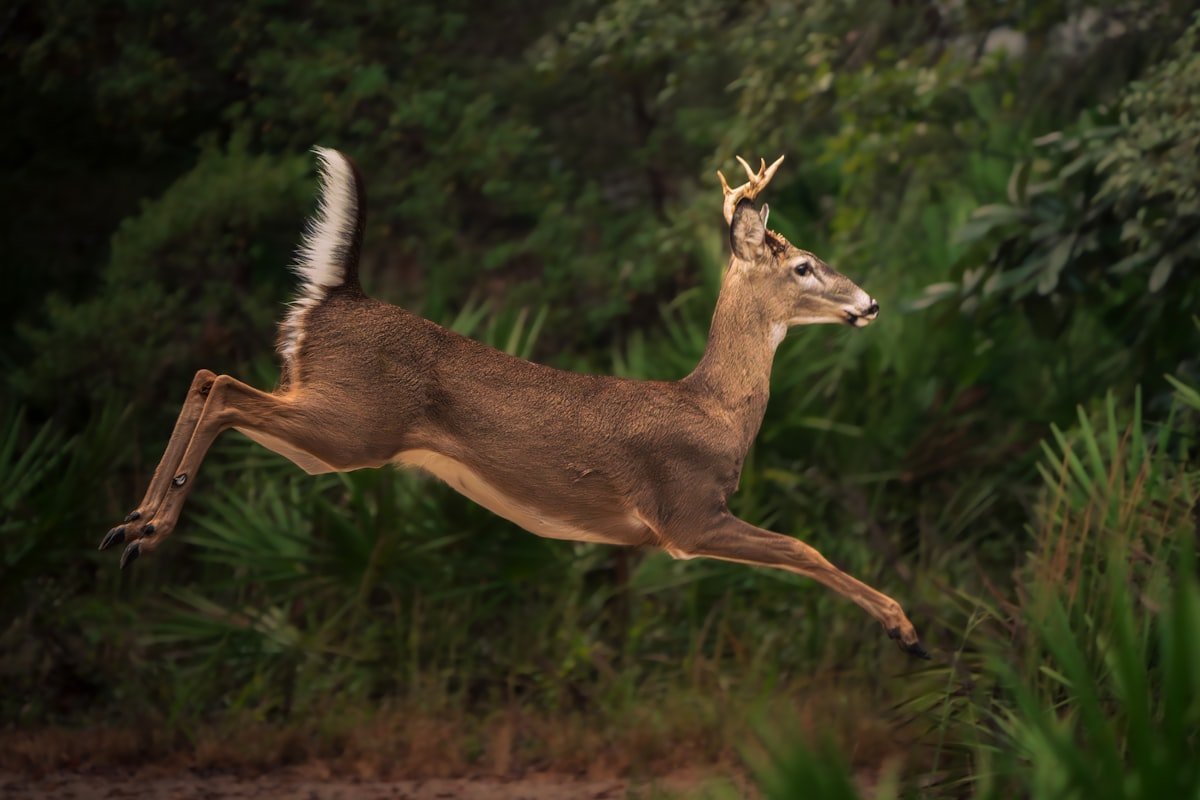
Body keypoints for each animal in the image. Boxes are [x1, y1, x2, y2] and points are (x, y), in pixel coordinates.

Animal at [99, 148, 929, 659]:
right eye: (804, 265)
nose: (870, 303)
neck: (716, 408)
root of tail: (338, 296)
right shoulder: (686, 515)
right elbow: (804, 548)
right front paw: (906, 629)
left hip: (327, 422)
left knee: (207, 378)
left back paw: (130, 527)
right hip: (349, 424)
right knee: (223, 387)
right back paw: (145, 530)